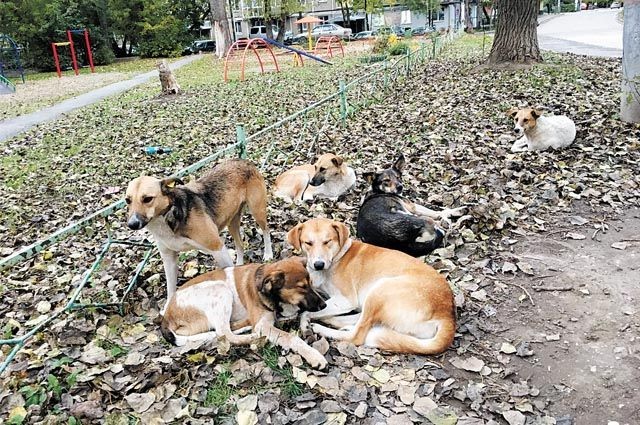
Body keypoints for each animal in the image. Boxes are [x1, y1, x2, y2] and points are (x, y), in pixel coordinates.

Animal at [126, 159, 274, 312]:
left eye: (147, 199)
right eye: (127, 200)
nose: (132, 224)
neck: (169, 216)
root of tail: (243, 161)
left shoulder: (217, 247)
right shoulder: (169, 258)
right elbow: (170, 287)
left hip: (257, 211)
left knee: (266, 230)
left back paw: (268, 254)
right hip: (232, 221)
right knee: (240, 245)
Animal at [160, 256, 330, 370]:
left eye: (311, 284)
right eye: (302, 288)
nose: (324, 305)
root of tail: (166, 317)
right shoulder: (263, 325)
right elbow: (292, 337)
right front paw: (314, 355)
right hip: (220, 289)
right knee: (224, 333)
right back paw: (254, 337)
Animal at [288, 219, 458, 354]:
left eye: (327, 241)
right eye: (308, 243)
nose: (318, 264)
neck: (338, 256)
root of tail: (447, 316)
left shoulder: (345, 300)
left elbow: (305, 312)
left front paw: (305, 322)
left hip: (380, 290)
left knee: (357, 336)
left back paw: (322, 328)